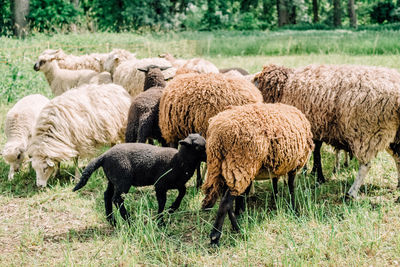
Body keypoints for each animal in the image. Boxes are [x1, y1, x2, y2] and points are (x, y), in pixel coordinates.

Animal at [72, 134, 208, 226]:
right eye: (197, 147)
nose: (209, 156)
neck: (179, 161)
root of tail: (104, 156)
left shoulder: (177, 183)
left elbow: (182, 192)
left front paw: (172, 209)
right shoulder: (160, 185)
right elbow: (162, 202)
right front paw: (160, 221)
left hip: (112, 179)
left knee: (107, 195)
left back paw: (112, 221)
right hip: (123, 179)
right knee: (117, 199)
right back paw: (129, 221)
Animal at [202, 103, 314, 246]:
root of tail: (218, 135)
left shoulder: (276, 165)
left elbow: (274, 182)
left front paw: (275, 199)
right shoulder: (294, 165)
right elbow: (291, 188)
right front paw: (294, 210)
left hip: (223, 167)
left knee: (227, 202)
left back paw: (237, 229)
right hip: (241, 164)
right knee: (225, 202)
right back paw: (216, 237)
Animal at [253, 64, 400, 199]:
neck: (282, 88)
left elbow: (316, 154)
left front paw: (316, 177)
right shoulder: (315, 129)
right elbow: (316, 153)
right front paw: (317, 176)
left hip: (367, 132)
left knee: (366, 165)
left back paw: (351, 193)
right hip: (392, 134)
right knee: (398, 157)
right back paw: (398, 185)